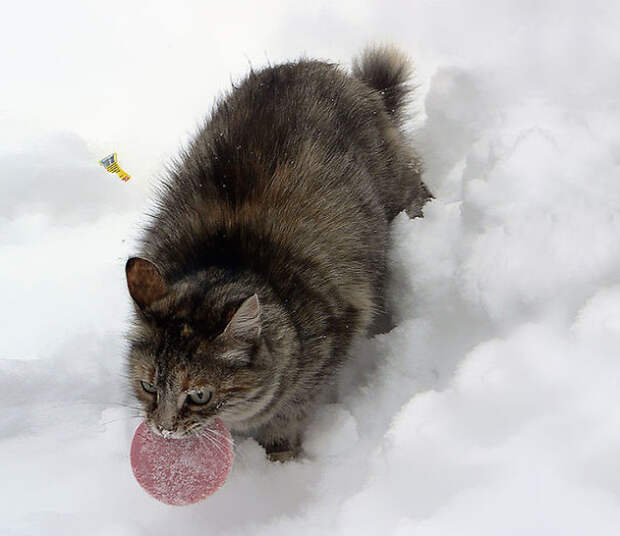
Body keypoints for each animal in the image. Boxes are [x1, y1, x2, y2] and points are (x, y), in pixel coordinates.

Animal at [126, 44, 432, 458]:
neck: (226, 257)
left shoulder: (333, 338)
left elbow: (288, 414)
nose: (163, 428)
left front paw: (279, 459)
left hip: (401, 190)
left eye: (200, 396)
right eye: (148, 387)